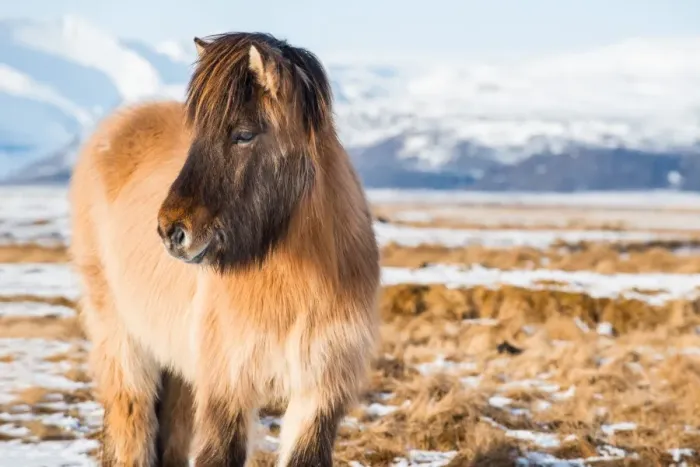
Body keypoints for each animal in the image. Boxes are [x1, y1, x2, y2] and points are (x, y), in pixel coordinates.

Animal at [68, 32, 380, 466]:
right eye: (197, 134)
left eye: (244, 134)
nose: (170, 231)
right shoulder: (228, 386)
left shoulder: (319, 391)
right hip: (123, 340)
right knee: (132, 424)